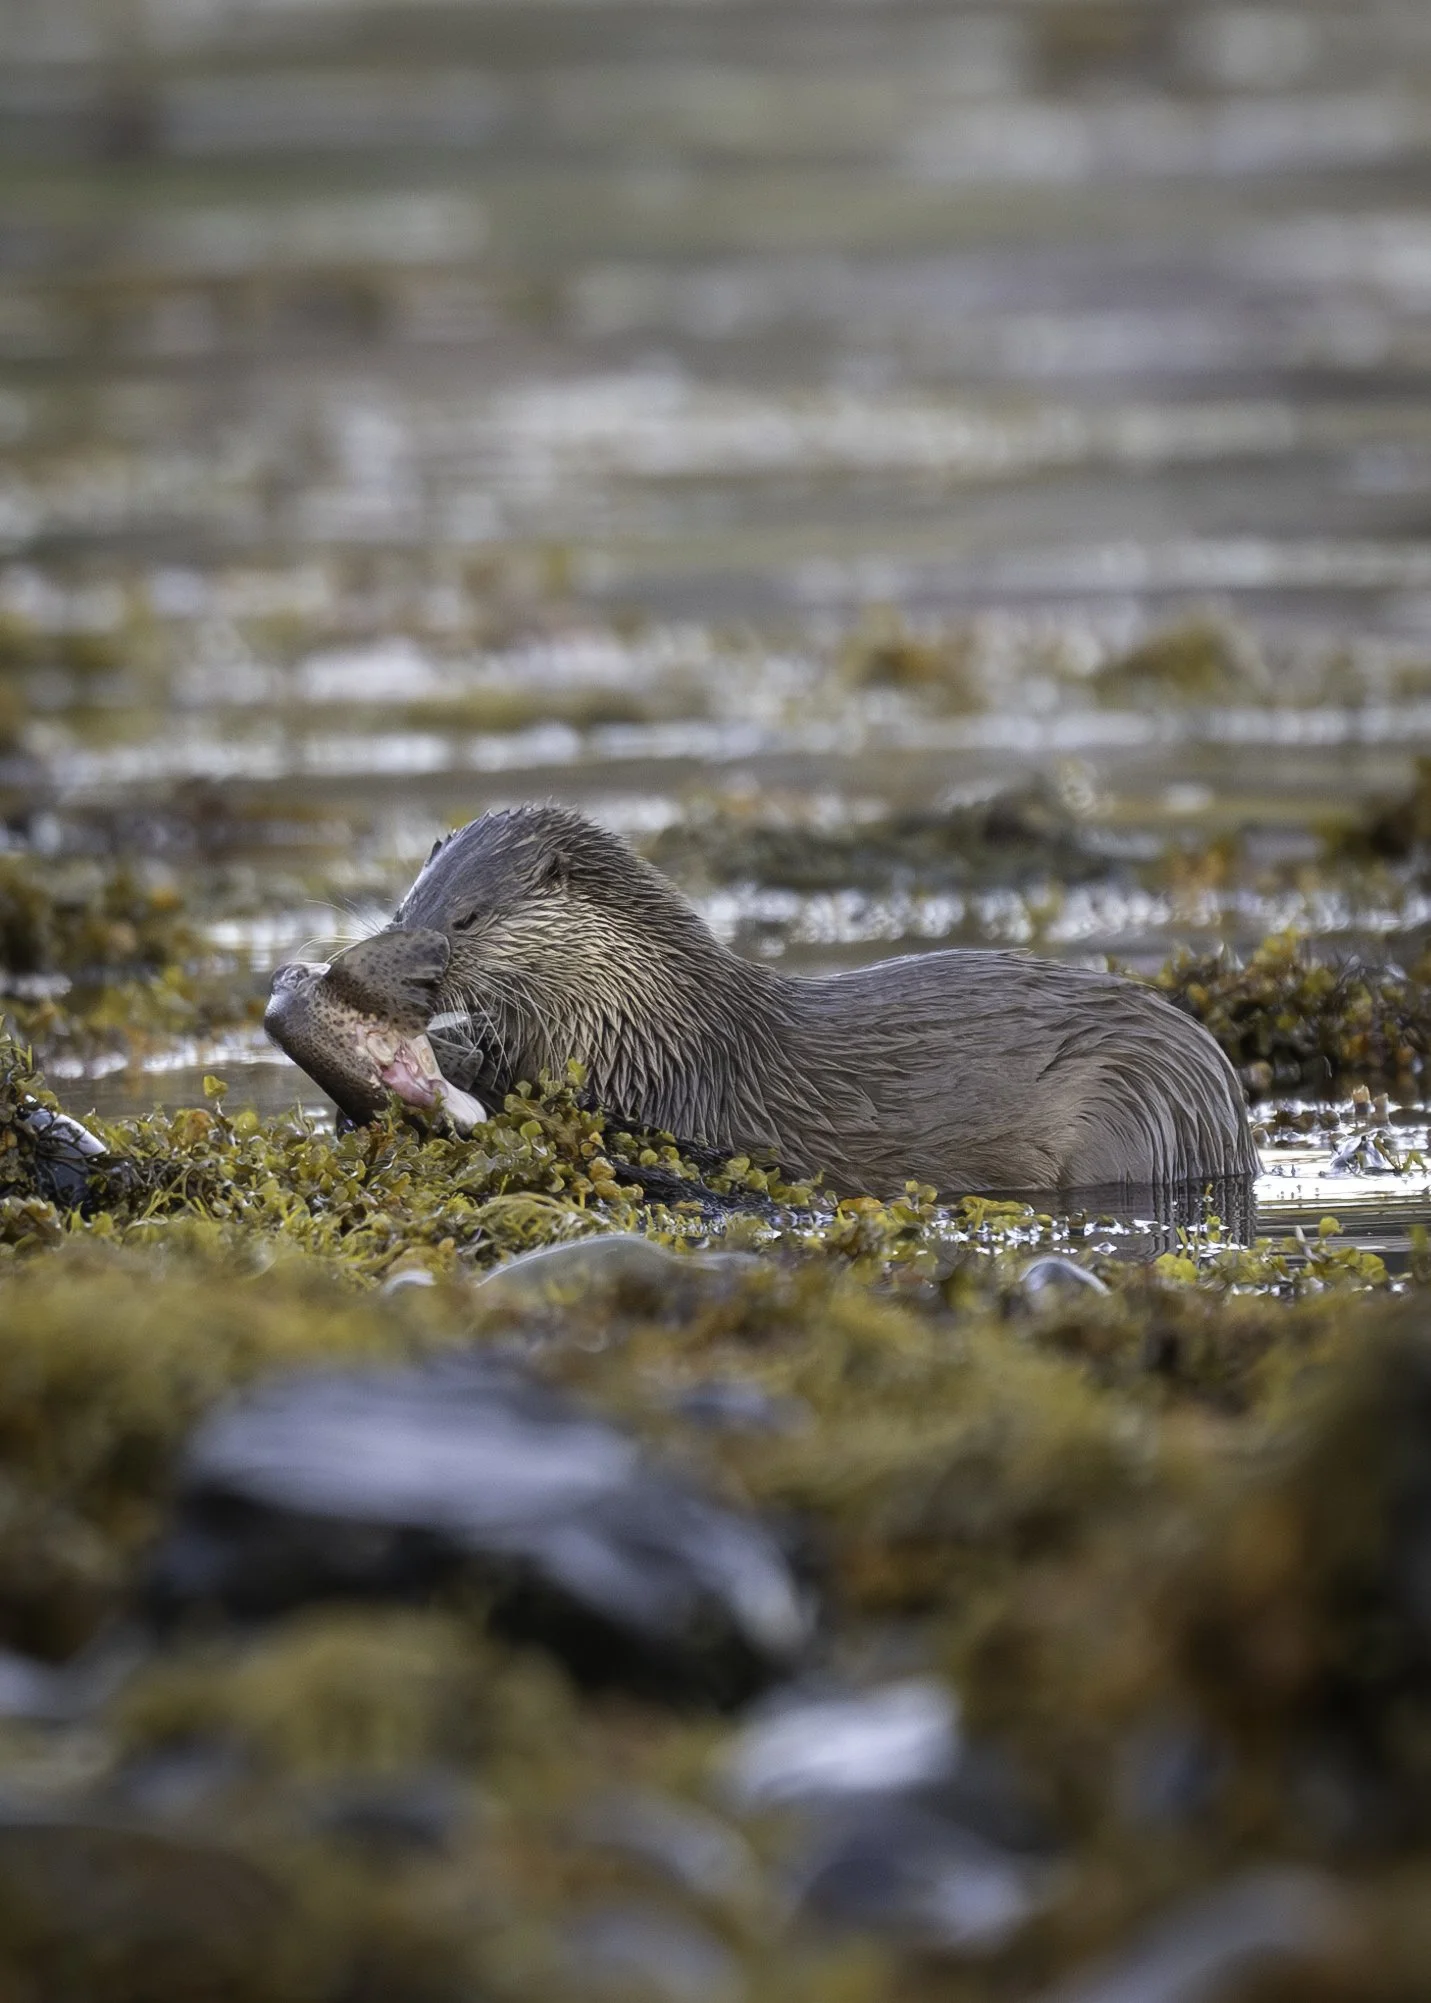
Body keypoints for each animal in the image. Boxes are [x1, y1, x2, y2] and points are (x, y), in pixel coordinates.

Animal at [265, 803, 1259, 1196]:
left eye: (465, 917)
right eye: (406, 907)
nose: (377, 974)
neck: (647, 1023)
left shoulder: (643, 1093)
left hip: (1128, 1115)